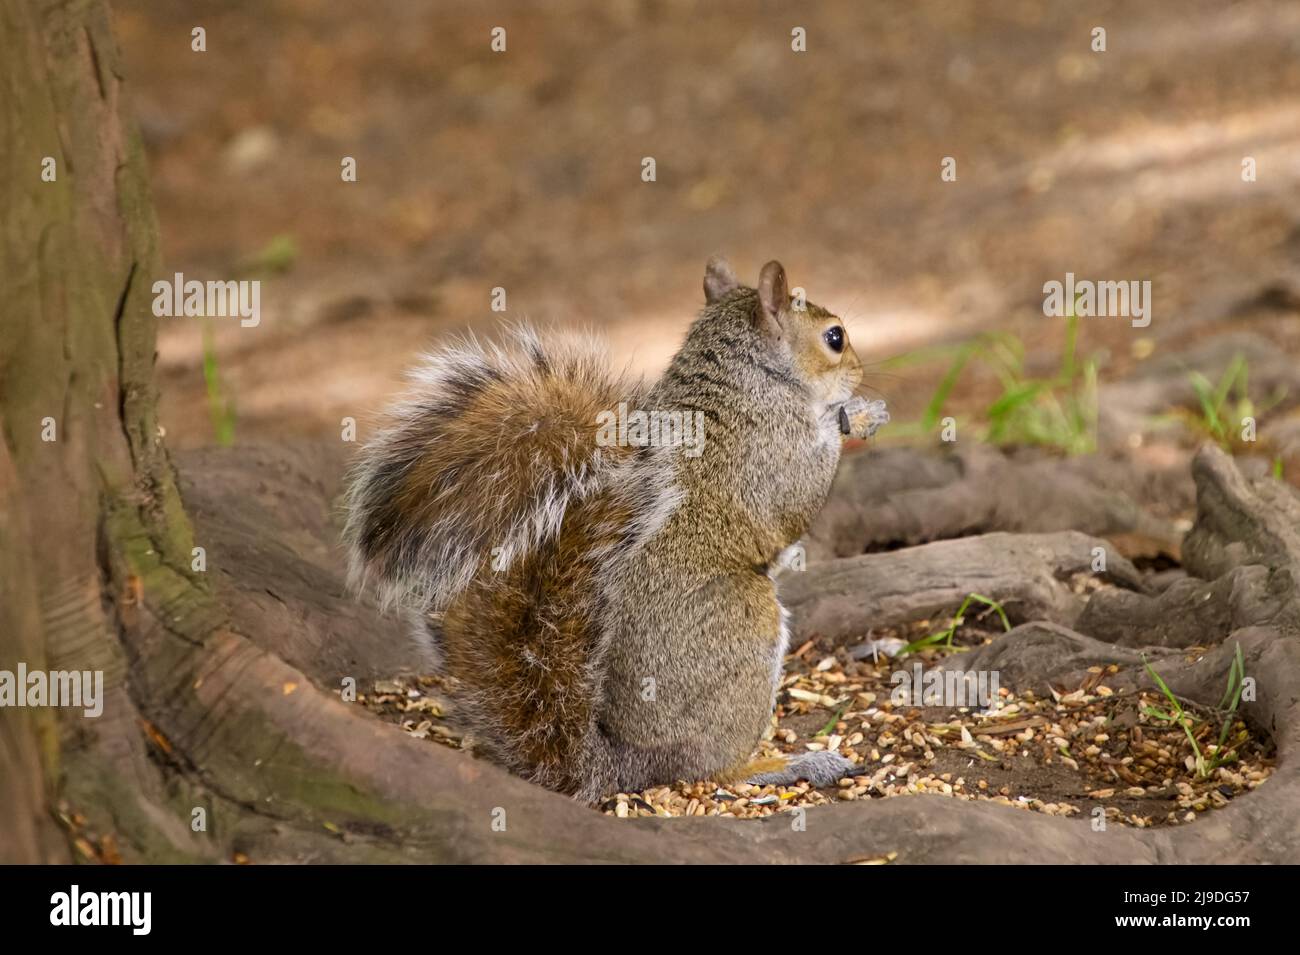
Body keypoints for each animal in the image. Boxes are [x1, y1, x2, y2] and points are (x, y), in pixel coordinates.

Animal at [343, 257, 888, 802]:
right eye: (835, 337)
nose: (862, 372)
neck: (746, 376)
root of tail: (622, 764)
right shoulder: (774, 449)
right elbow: (797, 498)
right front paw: (855, 415)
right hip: (742, 625)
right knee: (710, 769)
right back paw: (789, 764)